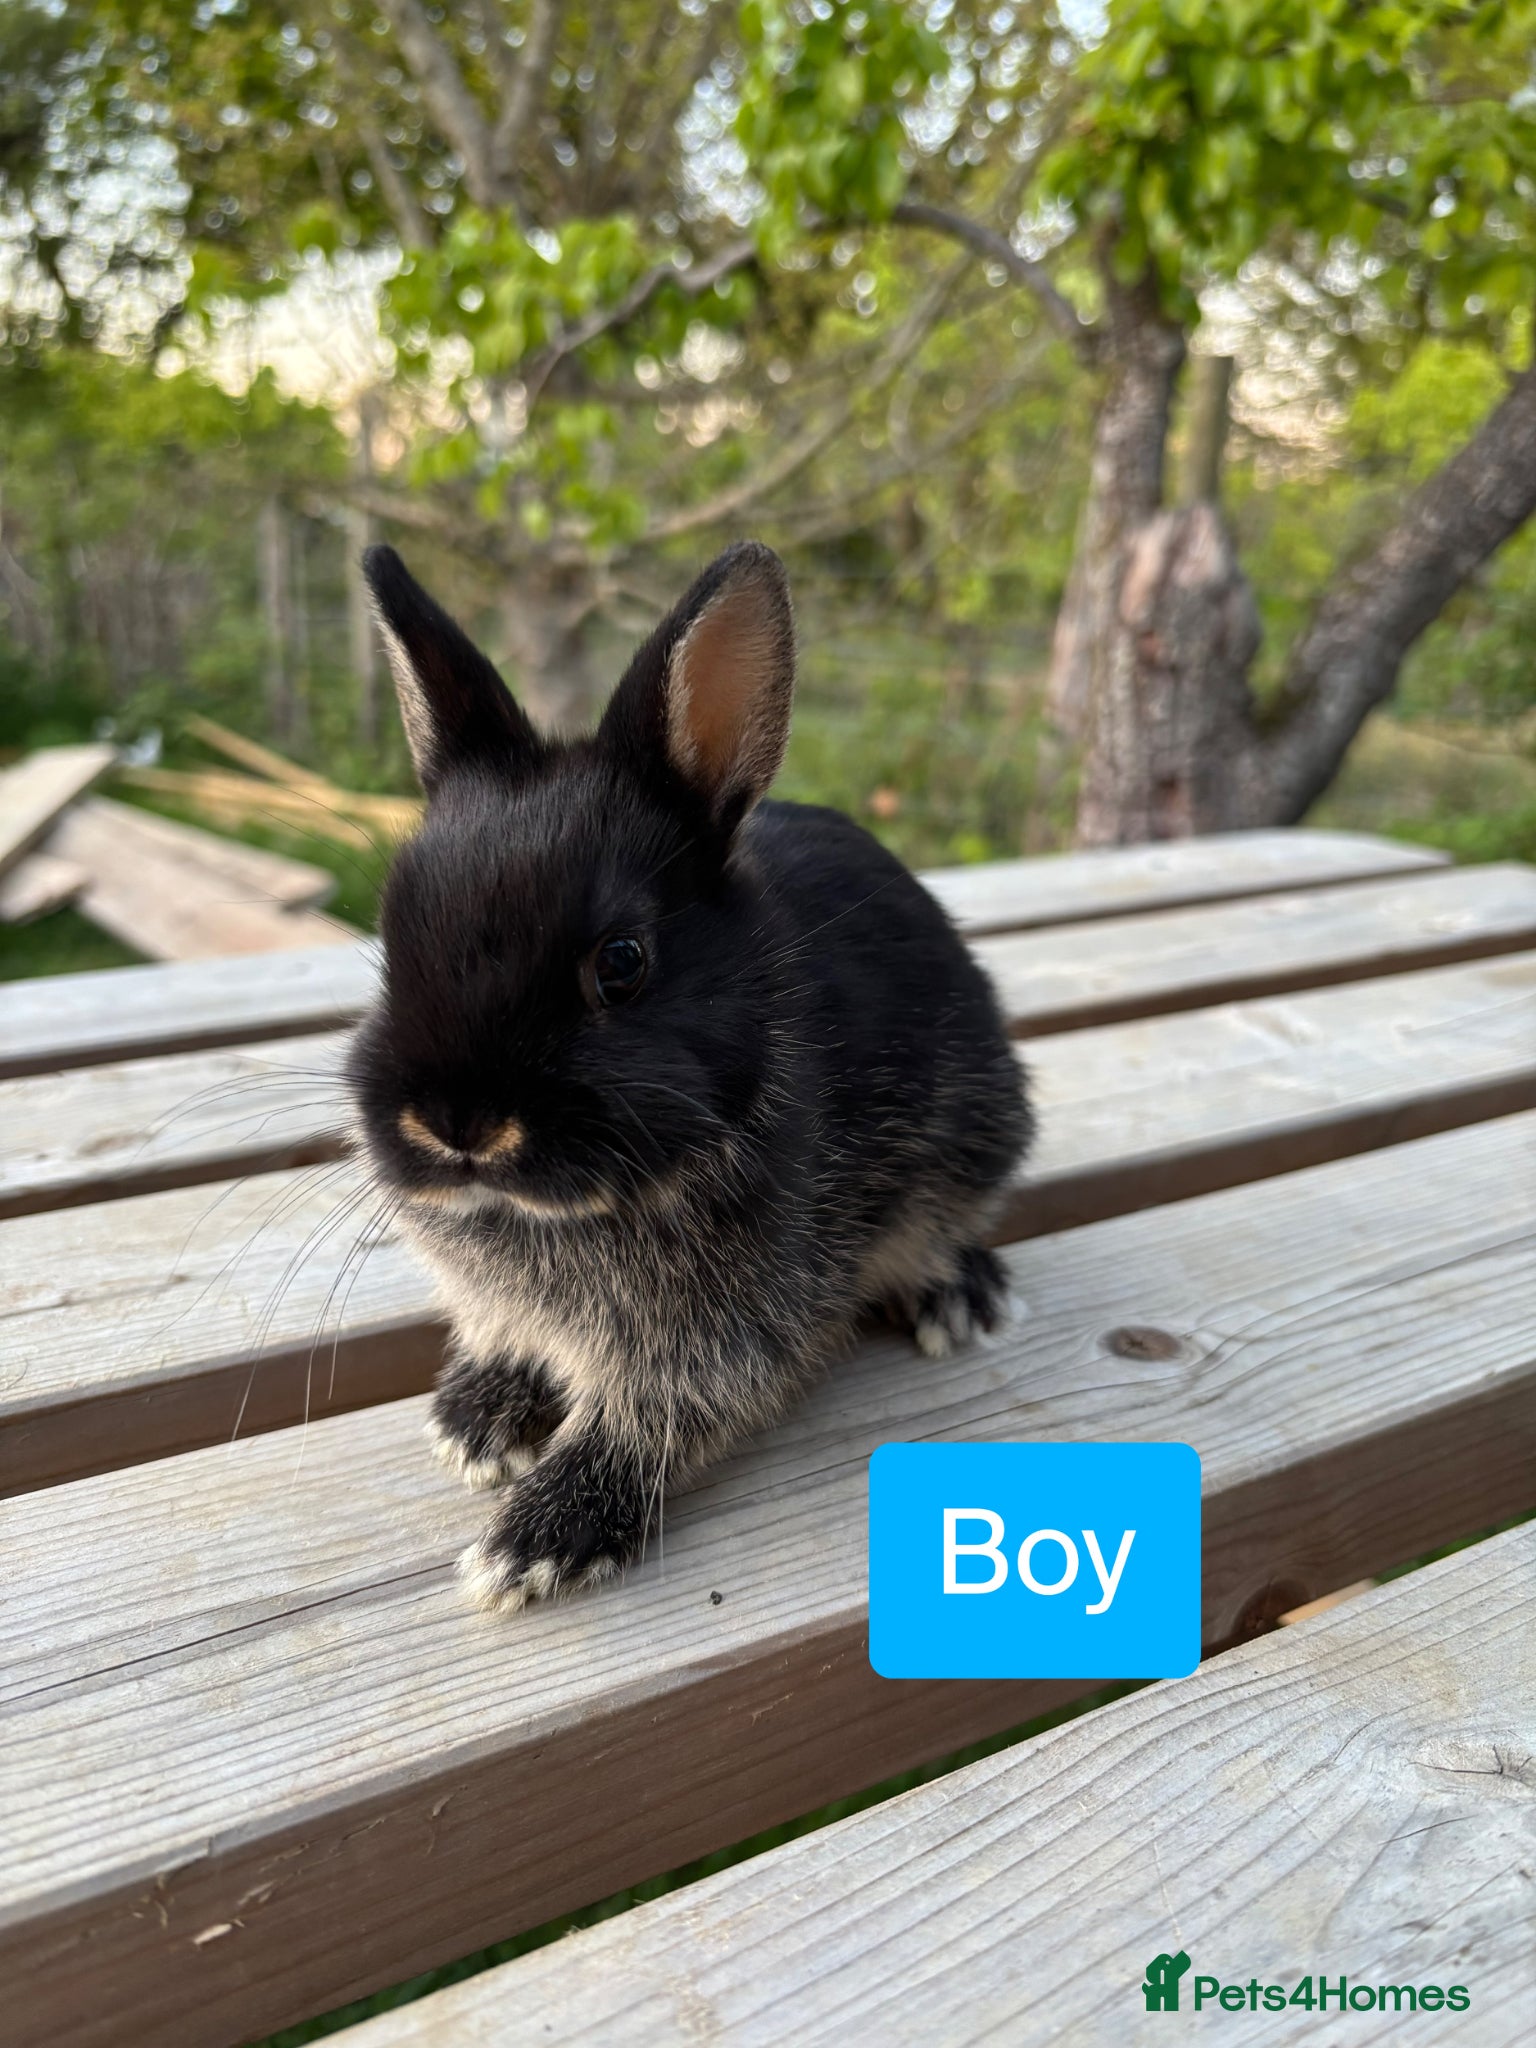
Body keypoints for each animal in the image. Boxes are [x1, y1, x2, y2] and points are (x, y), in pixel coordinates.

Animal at [348, 538, 1033, 1612]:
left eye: (621, 962)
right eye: (389, 945)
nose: (457, 1125)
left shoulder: (727, 1341)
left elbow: (658, 1420)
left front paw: (540, 1539)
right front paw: (477, 1417)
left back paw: (959, 1297)